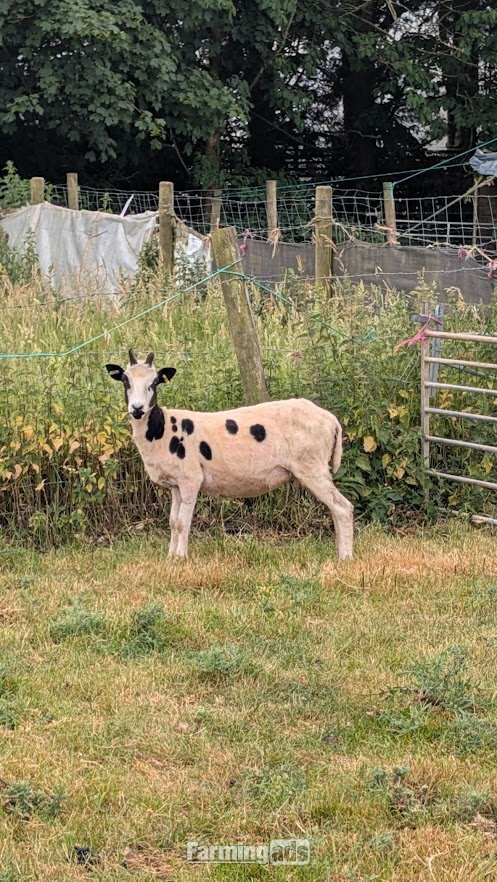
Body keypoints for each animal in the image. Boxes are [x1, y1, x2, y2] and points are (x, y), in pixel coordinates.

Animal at [105, 350, 353, 559]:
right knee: (335, 509)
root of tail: (331, 420)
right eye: (125, 380)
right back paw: (340, 552)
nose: (137, 409)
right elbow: (173, 522)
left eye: (154, 382)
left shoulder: (191, 479)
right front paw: (170, 558)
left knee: (343, 508)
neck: (161, 429)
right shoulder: (176, 483)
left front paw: (181, 559)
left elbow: (183, 523)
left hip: (312, 466)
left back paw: (345, 558)